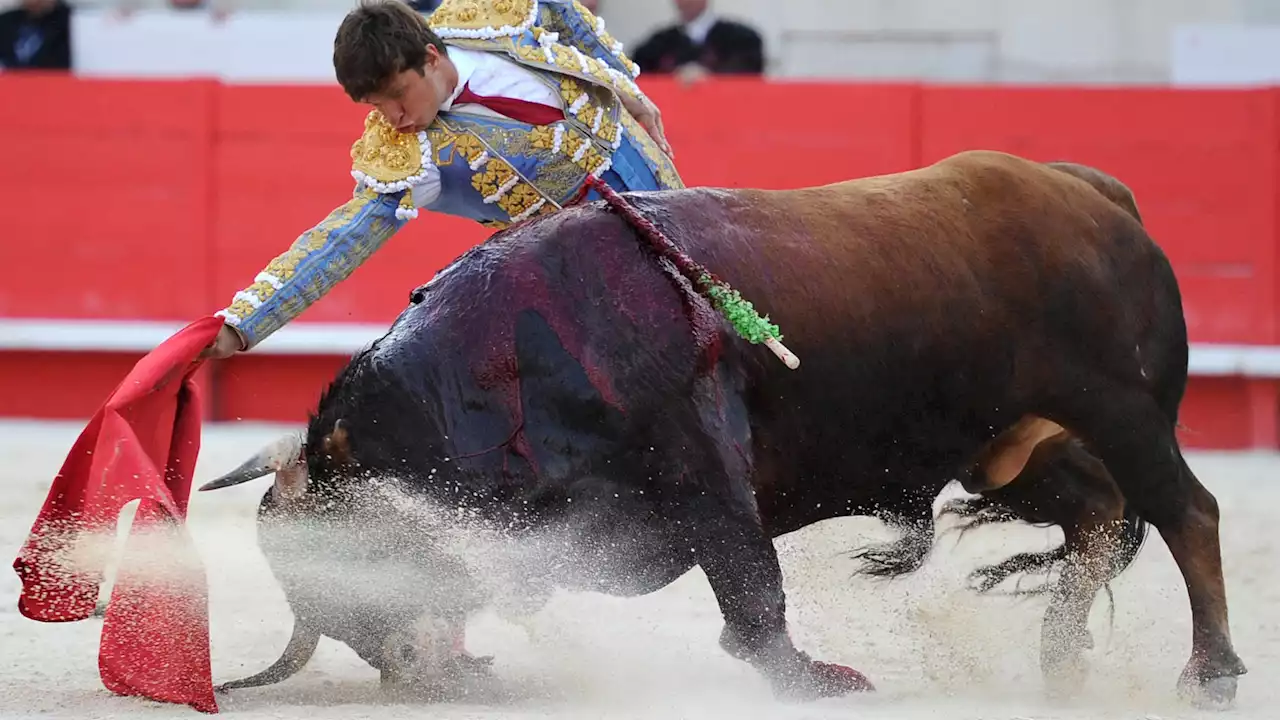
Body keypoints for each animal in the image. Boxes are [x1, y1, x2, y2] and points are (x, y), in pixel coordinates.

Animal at [202, 151, 1249, 707]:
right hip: (1002, 447)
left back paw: (1209, 673)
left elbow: (750, 596)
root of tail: (1090, 193)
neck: (506, 358)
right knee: (1098, 512)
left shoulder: (706, 467)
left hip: (1120, 407)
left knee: (1186, 511)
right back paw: (1059, 665)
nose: (425, 678)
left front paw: (822, 680)